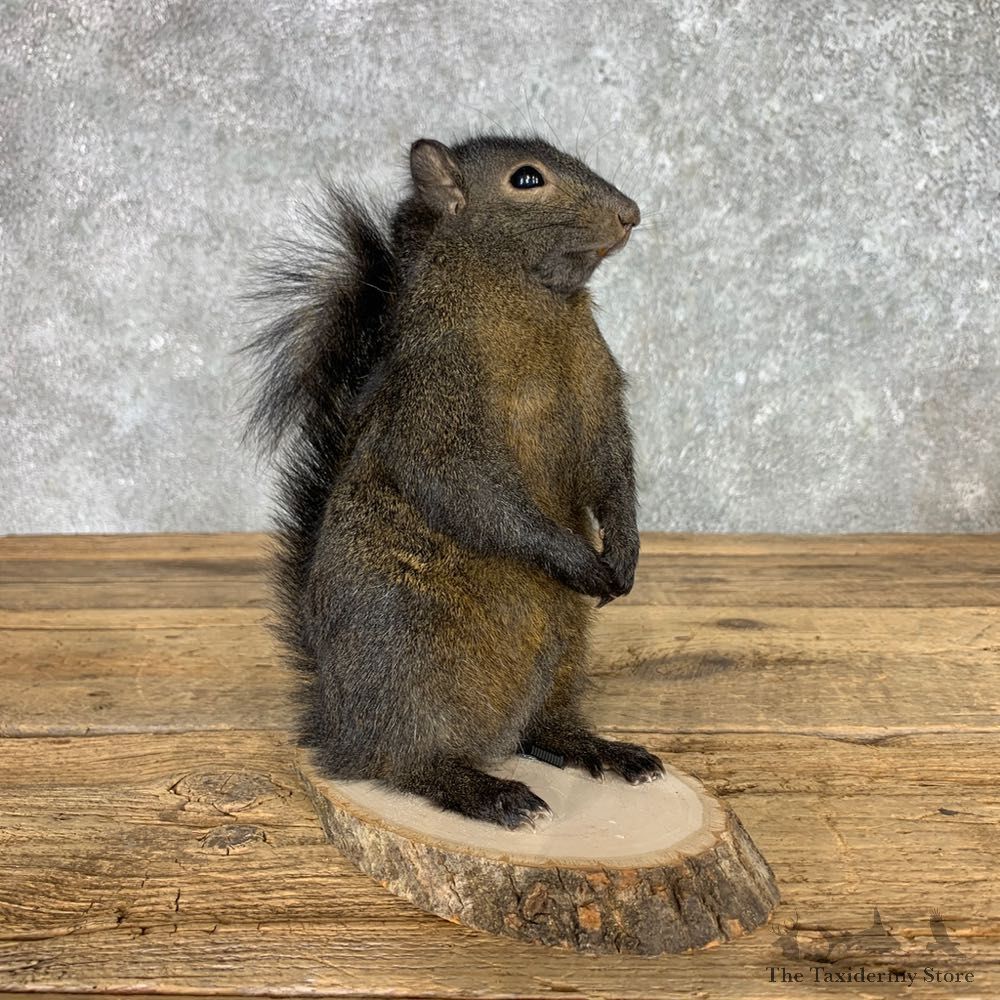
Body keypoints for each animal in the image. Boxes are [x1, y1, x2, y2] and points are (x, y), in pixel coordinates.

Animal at [243, 133, 664, 829]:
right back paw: (485, 791)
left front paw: (625, 552)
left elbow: (611, 470)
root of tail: (336, 723)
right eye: (528, 179)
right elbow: (470, 494)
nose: (630, 214)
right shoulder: (433, 406)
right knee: (403, 765)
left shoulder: (598, 388)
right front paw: (574, 558)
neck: (531, 303)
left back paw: (599, 748)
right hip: (407, 661)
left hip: (564, 651)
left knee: (540, 730)